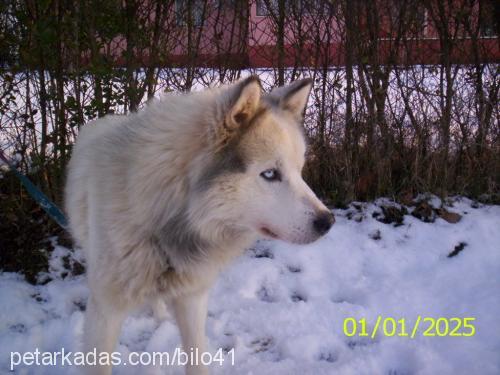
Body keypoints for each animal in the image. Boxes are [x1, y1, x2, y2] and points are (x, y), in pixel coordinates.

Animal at [64, 75, 334, 374]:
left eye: (299, 171)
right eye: (270, 174)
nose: (328, 221)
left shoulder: (192, 298)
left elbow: (196, 357)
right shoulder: (104, 312)